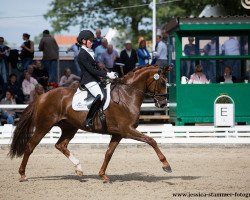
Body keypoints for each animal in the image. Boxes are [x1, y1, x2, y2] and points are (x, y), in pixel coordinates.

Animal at [8, 65, 172, 183]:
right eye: (162, 82)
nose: (163, 104)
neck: (127, 95)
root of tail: (42, 96)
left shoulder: (118, 133)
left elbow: (108, 153)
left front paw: (102, 175)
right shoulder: (127, 130)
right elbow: (151, 140)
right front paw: (166, 165)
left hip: (69, 127)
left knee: (60, 145)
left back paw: (79, 168)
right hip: (44, 125)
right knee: (30, 146)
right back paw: (22, 175)